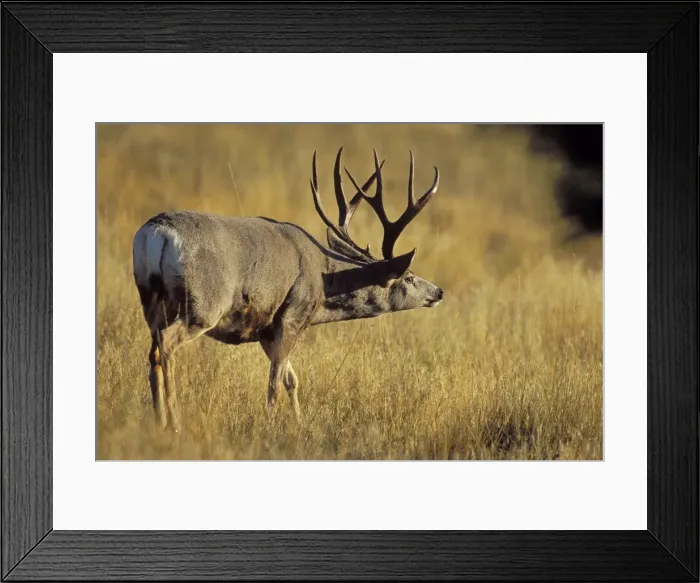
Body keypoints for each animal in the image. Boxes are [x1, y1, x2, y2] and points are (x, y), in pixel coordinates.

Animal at [132, 147, 444, 432]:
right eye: (409, 277)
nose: (439, 291)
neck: (323, 281)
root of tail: (157, 233)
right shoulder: (292, 313)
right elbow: (275, 380)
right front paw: (271, 426)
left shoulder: (265, 329)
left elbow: (291, 379)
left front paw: (299, 423)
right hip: (203, 305)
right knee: (167, 343)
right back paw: (174, 422)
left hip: (152, 300)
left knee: (153, 351)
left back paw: (159, 420)